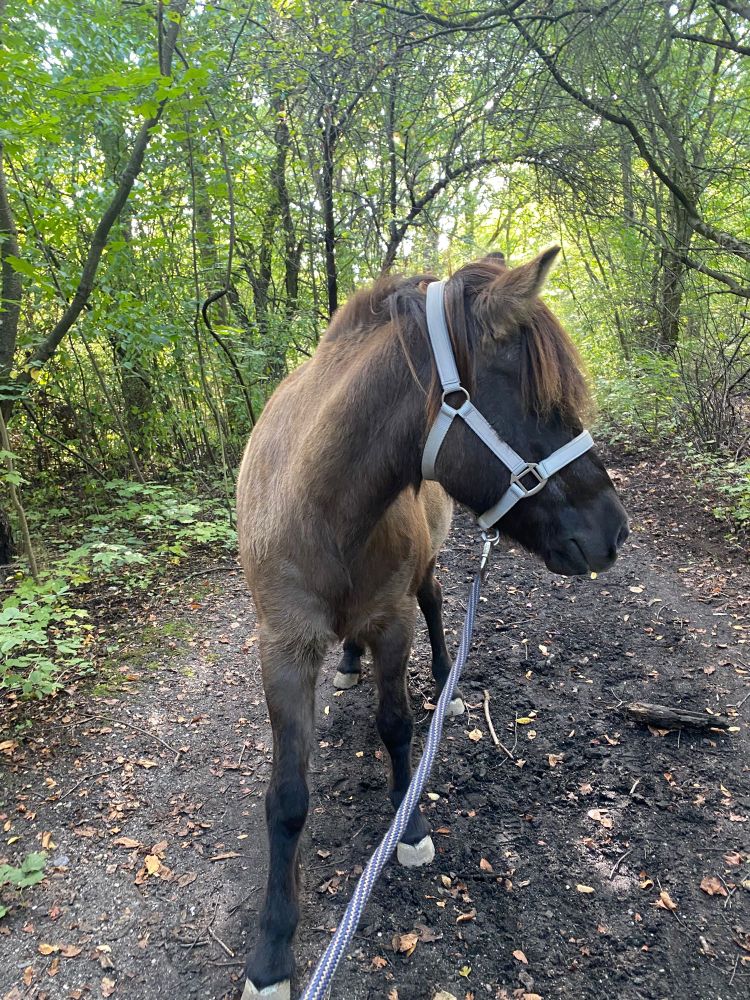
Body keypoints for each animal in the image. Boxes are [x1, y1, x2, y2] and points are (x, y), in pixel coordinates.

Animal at [236, 248, 629, 998]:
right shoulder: (283, 649)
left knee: (439, 601)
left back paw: (447, 674)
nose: (615, 533)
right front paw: (270, 952)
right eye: (543, 405)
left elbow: (397, 725)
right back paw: (350, 663)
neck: (319, 507)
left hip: (425, 576)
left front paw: (409, 823)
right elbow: (287, 798)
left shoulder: (394, 622)